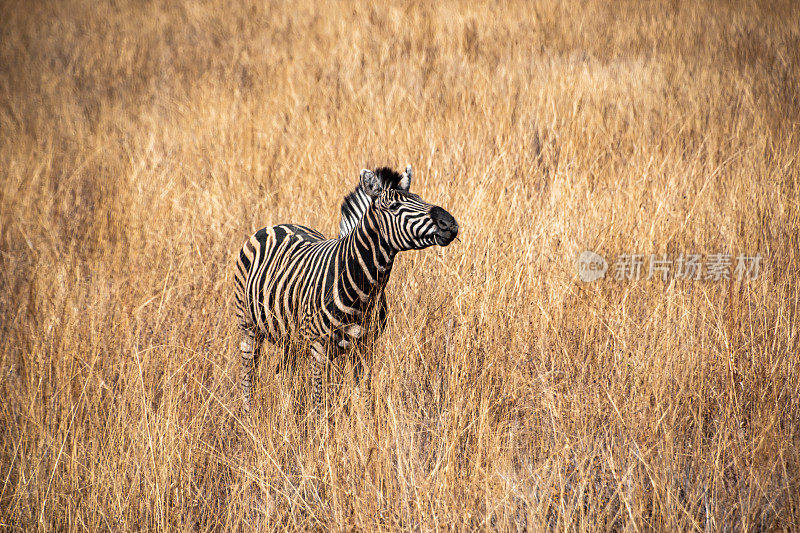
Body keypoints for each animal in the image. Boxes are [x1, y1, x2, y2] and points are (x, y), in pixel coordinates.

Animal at [233, 164, 456, 410]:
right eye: (395, 207)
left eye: (420, 199)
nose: (450, 223)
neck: (365, 290)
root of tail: (277, 225)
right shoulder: (318, 350)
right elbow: (319, 403)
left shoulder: (365, 347)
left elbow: (364, 398)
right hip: (248, 325)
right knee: (248, 376)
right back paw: (249, 415)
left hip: (291, 337)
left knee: (284, 375)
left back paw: (288, 411)